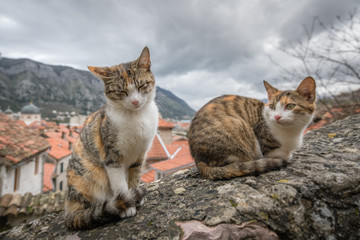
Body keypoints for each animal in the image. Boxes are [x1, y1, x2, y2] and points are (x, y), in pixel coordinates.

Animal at [64, 47, 159, 229]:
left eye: (141, 85)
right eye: (122, 91)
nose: (135, 102)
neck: (135, 117)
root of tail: (70, 209)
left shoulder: (140, 154)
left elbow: (135, 178)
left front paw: (135, 197)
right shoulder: (111, 157)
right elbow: (120, 184)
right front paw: (126, 206)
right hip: (89, 177)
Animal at [187, 77, 316, 180]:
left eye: (290, 106)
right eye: (272, 106)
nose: (277, 116)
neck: (291, 132)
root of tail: (198, 160)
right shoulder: (265, 146)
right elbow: (282, 154)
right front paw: (287, 155)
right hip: (236, 125)